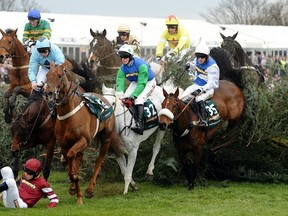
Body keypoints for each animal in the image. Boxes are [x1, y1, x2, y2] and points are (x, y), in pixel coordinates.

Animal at [44, 61, 123, 204]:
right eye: (47, 75)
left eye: (59, 76)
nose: (49, 93)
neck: (69, 115)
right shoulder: (64, 144)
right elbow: (71, 160)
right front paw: (74, 187)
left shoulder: (83, 140)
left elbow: (72, 160)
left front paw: (78, 190)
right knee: (79, 157)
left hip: (106, 138)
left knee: (99, 160)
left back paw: (90, 189)